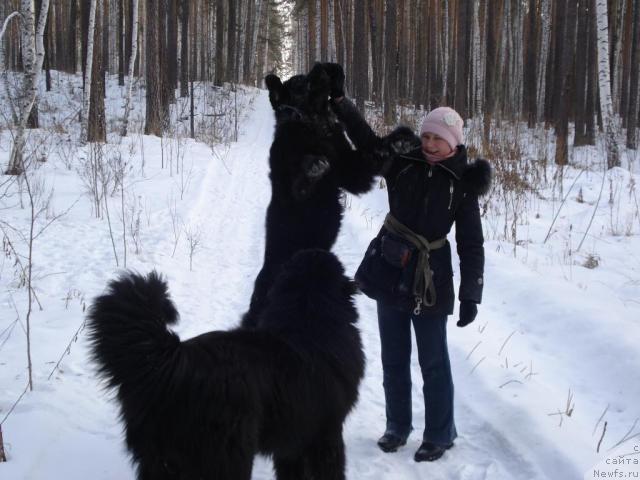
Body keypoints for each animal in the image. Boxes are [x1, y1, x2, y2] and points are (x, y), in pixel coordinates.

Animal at [87, 249, 362, 480]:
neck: (309, 318)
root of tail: (173, 360)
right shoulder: (326, 434)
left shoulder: (292, 442)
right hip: (227, 457)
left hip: (160, 461)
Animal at [241, 62, 420, 328]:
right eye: (301, 83)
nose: (323, 68)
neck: (313, 126)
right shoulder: (291, 188)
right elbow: (301, 182)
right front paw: (313, 166)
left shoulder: (352, 172)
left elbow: (374, 152)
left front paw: (400, 141)